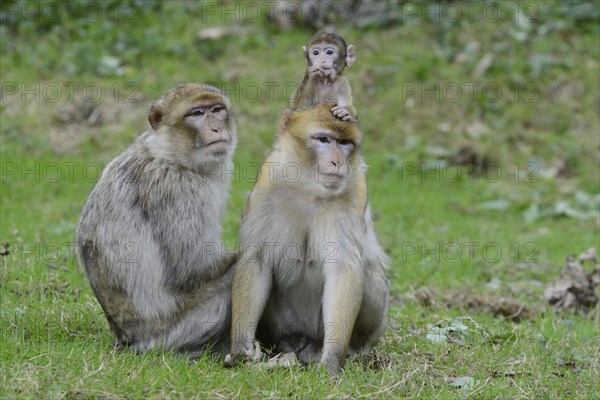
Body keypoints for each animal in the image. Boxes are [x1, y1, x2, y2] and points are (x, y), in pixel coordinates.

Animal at [77, 83, 239, 354]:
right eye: (196, 113)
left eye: (216, 109)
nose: (217, 128)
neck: (169, 153)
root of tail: (127, 338)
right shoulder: (179, 188)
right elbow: (190, 266)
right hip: (177, 331)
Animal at [225, 103, 390, 376]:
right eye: (323, 140)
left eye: (345, 143)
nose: (337, 162)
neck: (308, 187)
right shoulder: (266, 184)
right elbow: (256, 259)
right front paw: (240, 351)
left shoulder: (356, 192)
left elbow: (344, 268)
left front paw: (331, 362)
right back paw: (290, 342)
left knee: (372, 271)